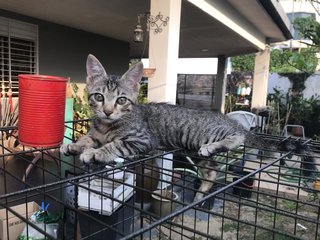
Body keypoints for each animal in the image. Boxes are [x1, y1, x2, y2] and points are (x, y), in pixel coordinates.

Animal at [60, 54, 316, 201]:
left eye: (121, 100)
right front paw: (73, 146)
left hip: (208, 134)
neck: (107, 126)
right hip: (195, 150)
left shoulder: (142, 140)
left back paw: (220, 146)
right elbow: (88, 138)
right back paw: (201, 192)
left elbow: (114, 145)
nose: (107, 111)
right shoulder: (97, 132)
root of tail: (229, 119)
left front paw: (96, 153)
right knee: (212, 170)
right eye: (99, 97)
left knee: (237, 138)